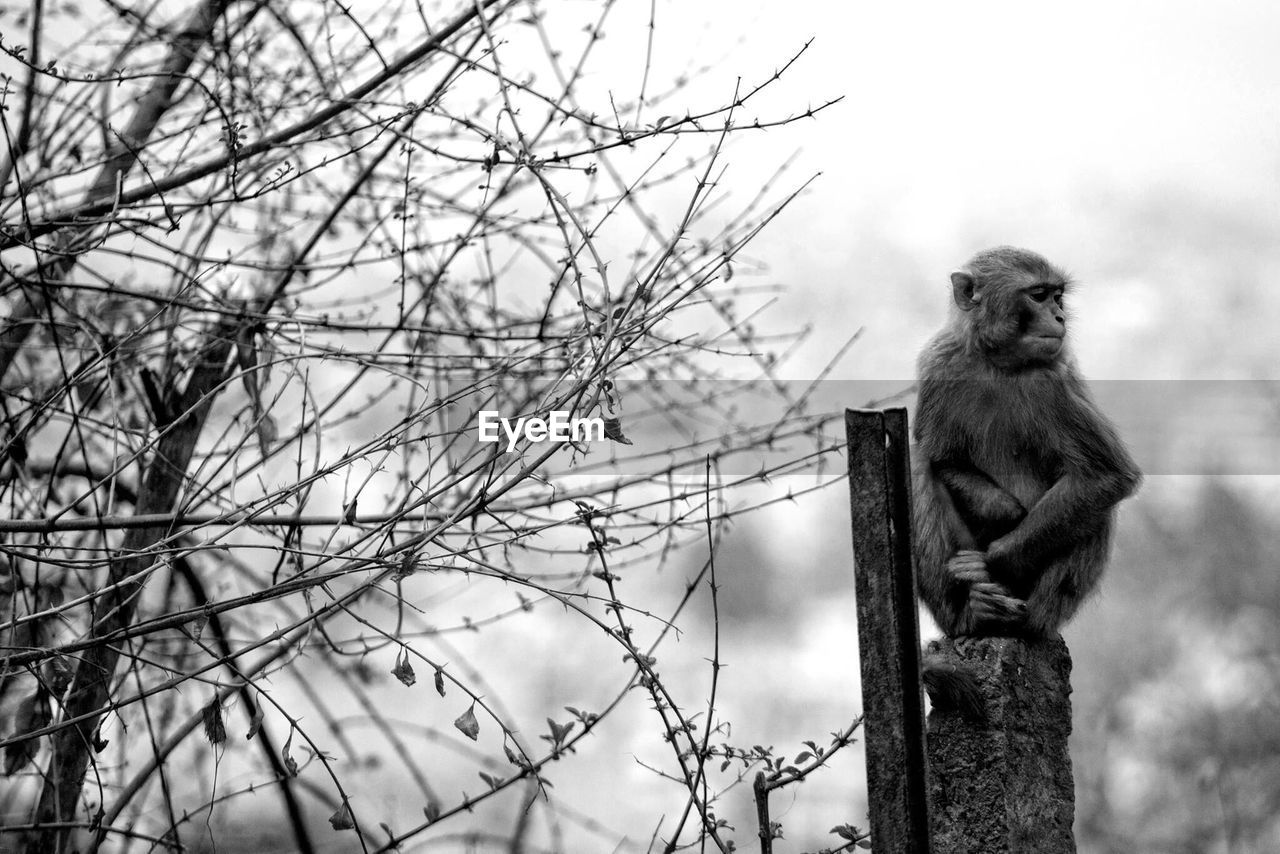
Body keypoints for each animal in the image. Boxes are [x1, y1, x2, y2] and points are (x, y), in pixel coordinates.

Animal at [911, 243, 1141, 637]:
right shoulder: (937, 364)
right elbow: (942, 460)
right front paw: (1001, 509)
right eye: (1038, 295)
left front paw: (991, 561)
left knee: (1093, 503)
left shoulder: (1050, 384)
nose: (1060, 316)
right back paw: (970, 615)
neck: (996, 362)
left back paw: (1023, 618)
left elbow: (1103, 477)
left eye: (1057, 295)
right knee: (921, 470)